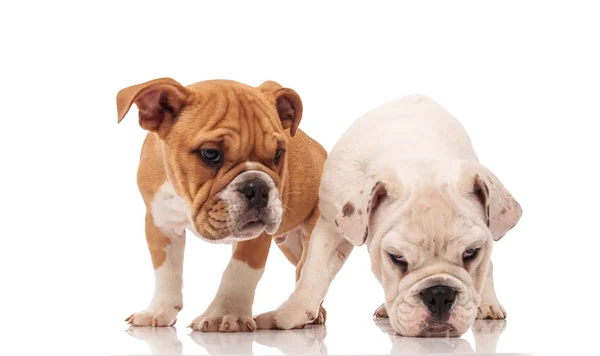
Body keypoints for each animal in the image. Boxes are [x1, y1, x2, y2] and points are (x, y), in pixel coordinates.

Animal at [117, 77, 328, 330]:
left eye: (278, 153)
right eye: (210, 153)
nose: (257, 187)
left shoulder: (254, 239)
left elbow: (238, 272)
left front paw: (226, 314)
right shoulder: (160, 224)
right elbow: (166, 272)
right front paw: (159, 310)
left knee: (307, 272)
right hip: (291, 245)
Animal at [255, 94, 524, 336]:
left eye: (471, 253)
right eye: (397, 258)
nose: (439, 294)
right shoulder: (332, 227)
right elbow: (314, 271)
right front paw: (288, 315)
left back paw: (488, 304)